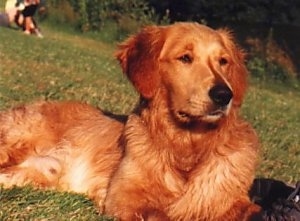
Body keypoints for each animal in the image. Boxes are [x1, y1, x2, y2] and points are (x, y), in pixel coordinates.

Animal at [0, 22, 262, 221]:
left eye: (223, 61)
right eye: (185, 58)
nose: (224, 95)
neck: (186, 147)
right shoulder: (123, 197)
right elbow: (158, 215)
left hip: (42, 172)